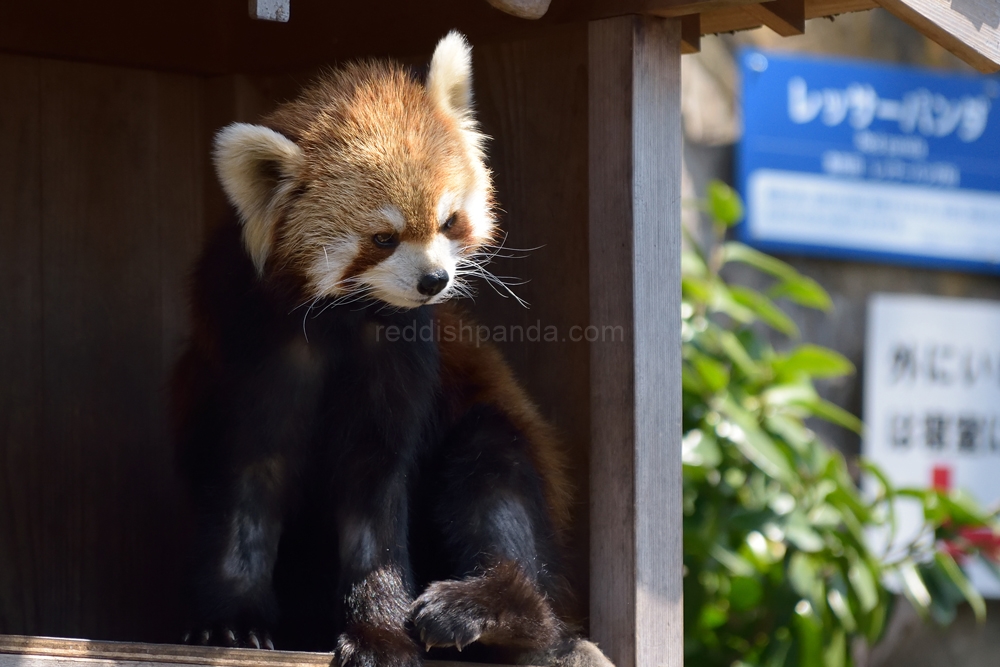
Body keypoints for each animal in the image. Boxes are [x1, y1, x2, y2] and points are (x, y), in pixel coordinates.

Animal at [170, 30, 592, 667]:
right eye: (383, 238)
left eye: (449, 221)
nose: (433, 281)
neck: (344, 320)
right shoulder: (252, 345)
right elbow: (249, 476)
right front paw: (232, 622)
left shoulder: (403, 354)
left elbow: (376, 487)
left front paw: (381, 636)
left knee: (495, 476)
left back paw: (493, 610)